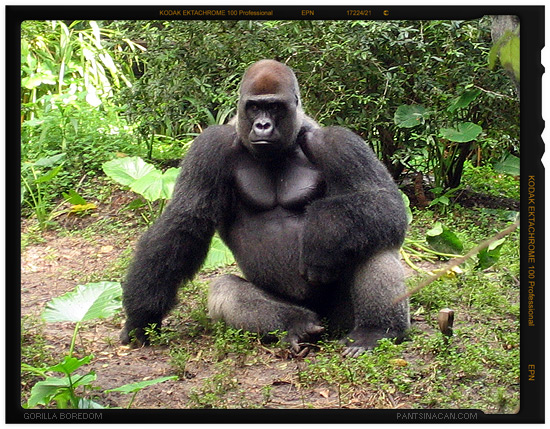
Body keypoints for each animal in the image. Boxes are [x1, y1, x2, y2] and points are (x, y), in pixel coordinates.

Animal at [122, 58, 414, 356]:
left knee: (374, 240)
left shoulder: (337, 142)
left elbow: (386, 202)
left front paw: (324, 232)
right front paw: (141, 316)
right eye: (254, 107)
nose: (263, 125)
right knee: (224, 289)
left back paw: (375, 330)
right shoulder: (209, 147)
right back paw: (296, 323)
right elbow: (184, 223)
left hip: (342, 319)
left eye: (274, 106)